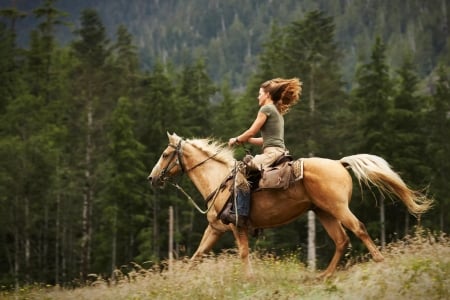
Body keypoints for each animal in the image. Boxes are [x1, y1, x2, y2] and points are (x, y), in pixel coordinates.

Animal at [148, 132, 432, 278]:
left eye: (165, 154)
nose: (152, 178)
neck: (220, 181)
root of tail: (339, 163)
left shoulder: (237, 227)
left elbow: (243, 253)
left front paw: (249, 280)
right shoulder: (215, 229)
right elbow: (197, 255)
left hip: (339, 209)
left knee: (358, 229)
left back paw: (380, 262)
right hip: (324, 212)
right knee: (341, 241)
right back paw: (323, 276)